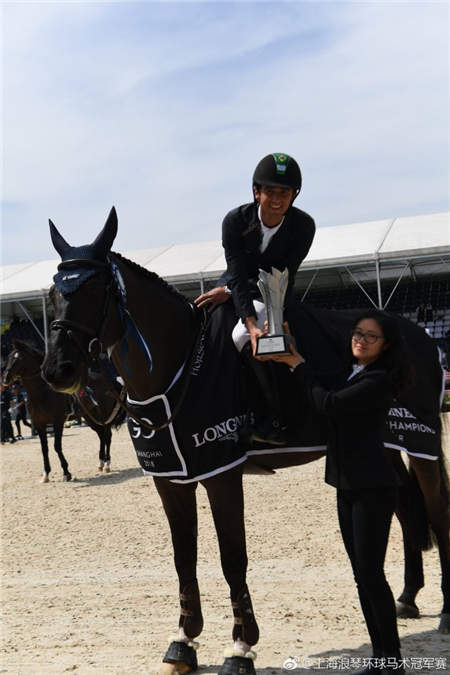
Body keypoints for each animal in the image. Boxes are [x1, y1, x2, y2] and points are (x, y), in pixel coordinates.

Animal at [3, 339, 125, 480]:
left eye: (18, 358)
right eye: (9, 357)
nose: (5, 378)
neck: (43, 392)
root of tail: (109, 382)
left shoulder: (58, 422)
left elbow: (57, 446)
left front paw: (66, 472)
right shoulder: (39, 423)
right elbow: (44, 448)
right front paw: (46, 474)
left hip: (104, 416)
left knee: (107, 436)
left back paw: (107, 464)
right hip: (90, 418)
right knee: (101, 436)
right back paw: (100, 462)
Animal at [42, 208, 449, 674]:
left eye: (97, 290)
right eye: (52, 293)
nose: (58, 371)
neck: (180, 364)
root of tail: (417, 335)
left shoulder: (222, 473)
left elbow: (232, 557)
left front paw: (240, 646)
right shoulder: (170, 478)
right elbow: (183, 556)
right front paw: (183, 641)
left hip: (422, 443)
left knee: (437, 512)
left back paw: (445, 612)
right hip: (386, 444)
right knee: (403, 507)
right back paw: (407, 598)